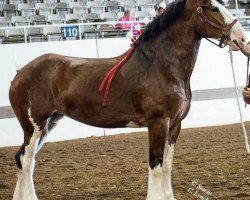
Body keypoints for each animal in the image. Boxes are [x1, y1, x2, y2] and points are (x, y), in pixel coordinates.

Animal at [9, 0, 246, 200]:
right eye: (213, 8)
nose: (242, 39)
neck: (161, 67)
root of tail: (21, 72)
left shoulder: (175, 125)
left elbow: (168, 165)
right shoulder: (158, 123)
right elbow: (156, 165)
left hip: (50, 123)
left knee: (23, 159)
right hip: (34, 126)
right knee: (26, 160)